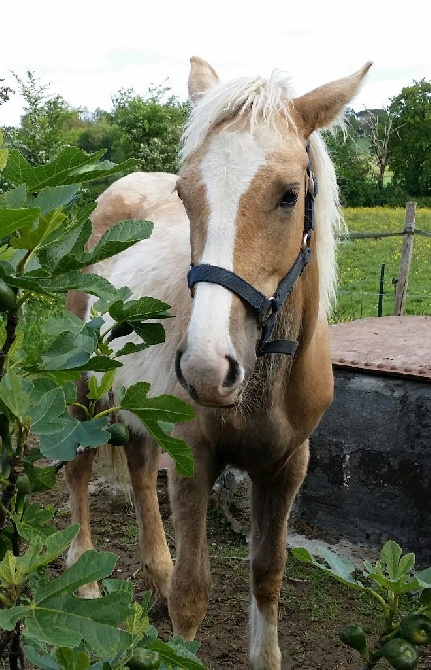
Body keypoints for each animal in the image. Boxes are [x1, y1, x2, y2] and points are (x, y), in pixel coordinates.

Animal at [66, 57, 372, 670]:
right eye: (185, 194)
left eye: (288, 195)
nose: (208, 368)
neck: (262, 384)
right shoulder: (194, 461)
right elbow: (192, 594)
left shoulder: (287, 466)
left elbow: (268, 574)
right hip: (86, 391)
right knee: (79, 470)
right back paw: (84, 581)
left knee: (139, 470)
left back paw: (153, 577)